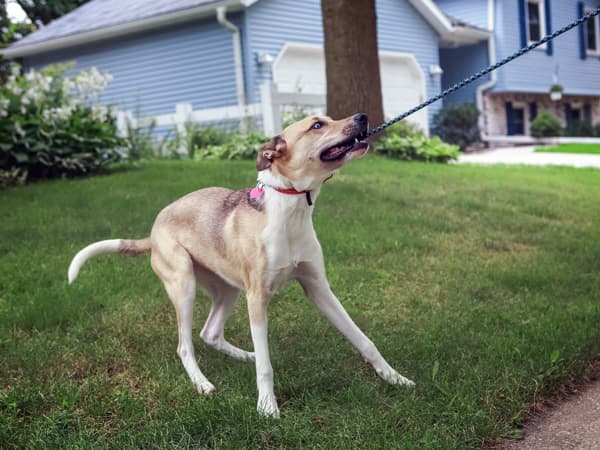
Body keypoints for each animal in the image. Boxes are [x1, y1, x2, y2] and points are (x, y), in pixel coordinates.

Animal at [65, 113, 412, 418]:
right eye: (316, 125)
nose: (363, 117)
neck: (290, 209)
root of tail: (152, 230)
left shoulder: (319, 288)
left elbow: (363, 339)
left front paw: (394, 377)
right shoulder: (257, 299)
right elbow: (266, 368)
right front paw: (267, 407)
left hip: (227, 289)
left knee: (210, 332)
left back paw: (244, 355)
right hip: (185, 284)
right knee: (185, 346)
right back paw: (202, 383)